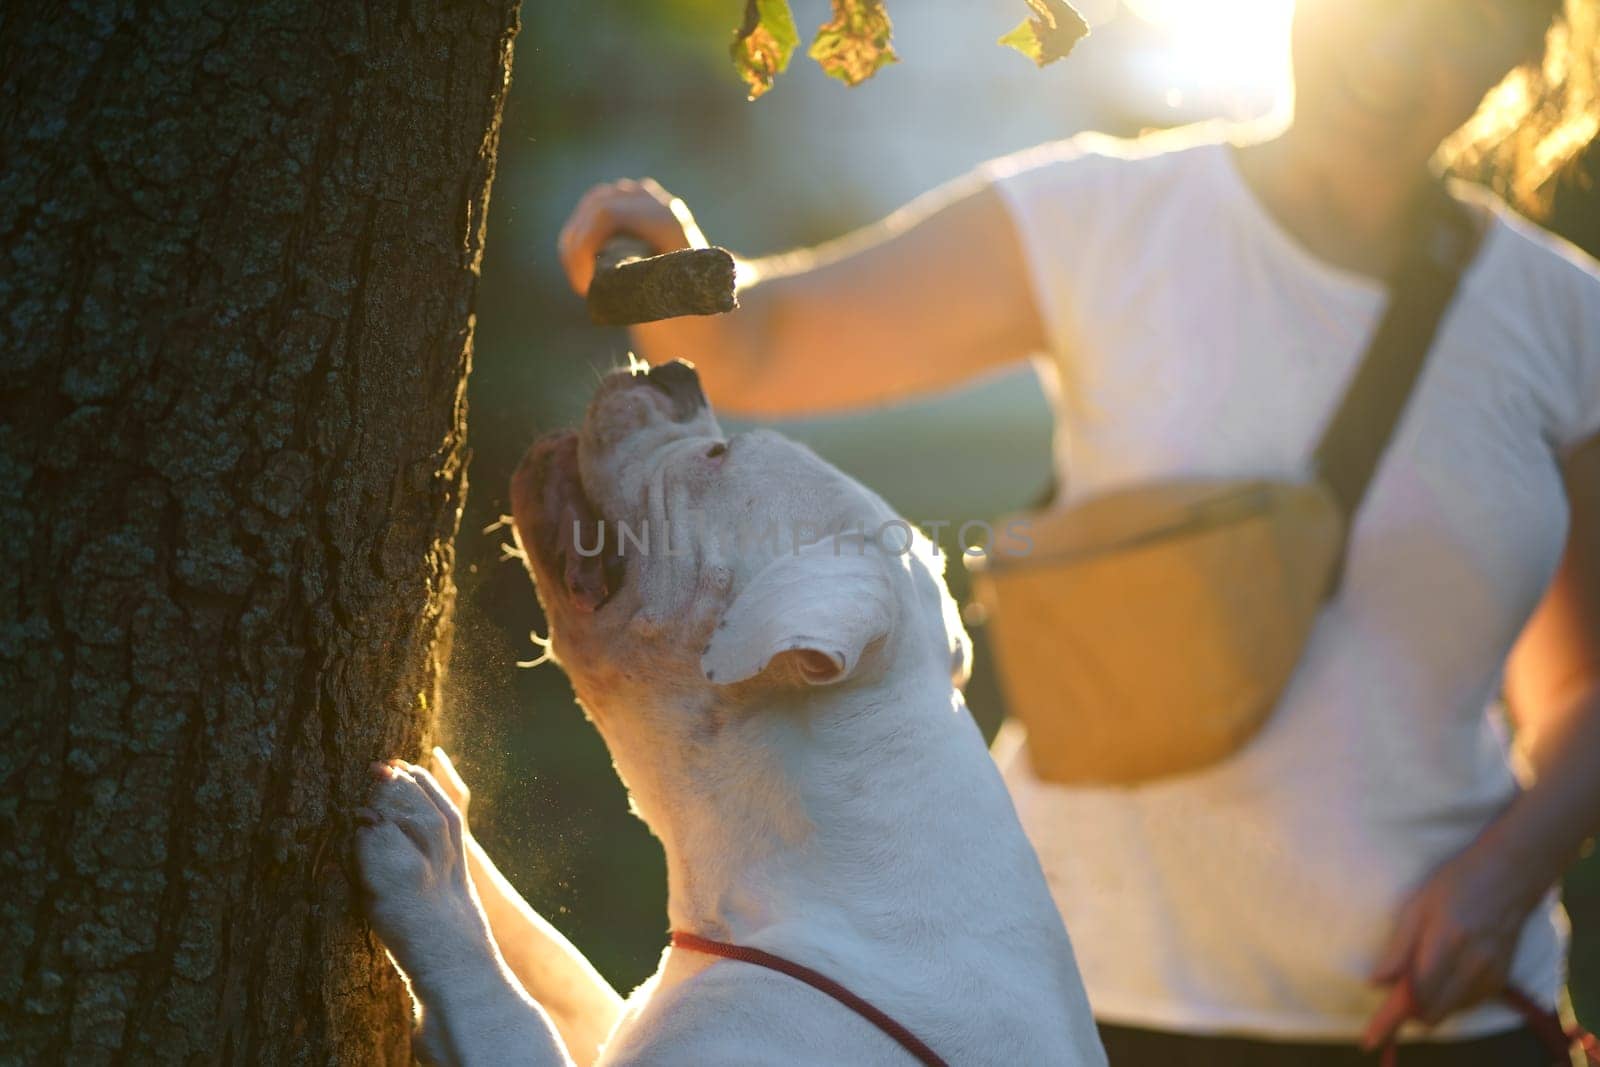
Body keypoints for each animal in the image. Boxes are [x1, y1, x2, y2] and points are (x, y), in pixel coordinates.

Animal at [352, 363, 1107, 1062]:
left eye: (716, 456)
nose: (673, 370)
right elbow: (549, 955)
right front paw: (454, 813)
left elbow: (502, 1002)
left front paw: (435, 874)